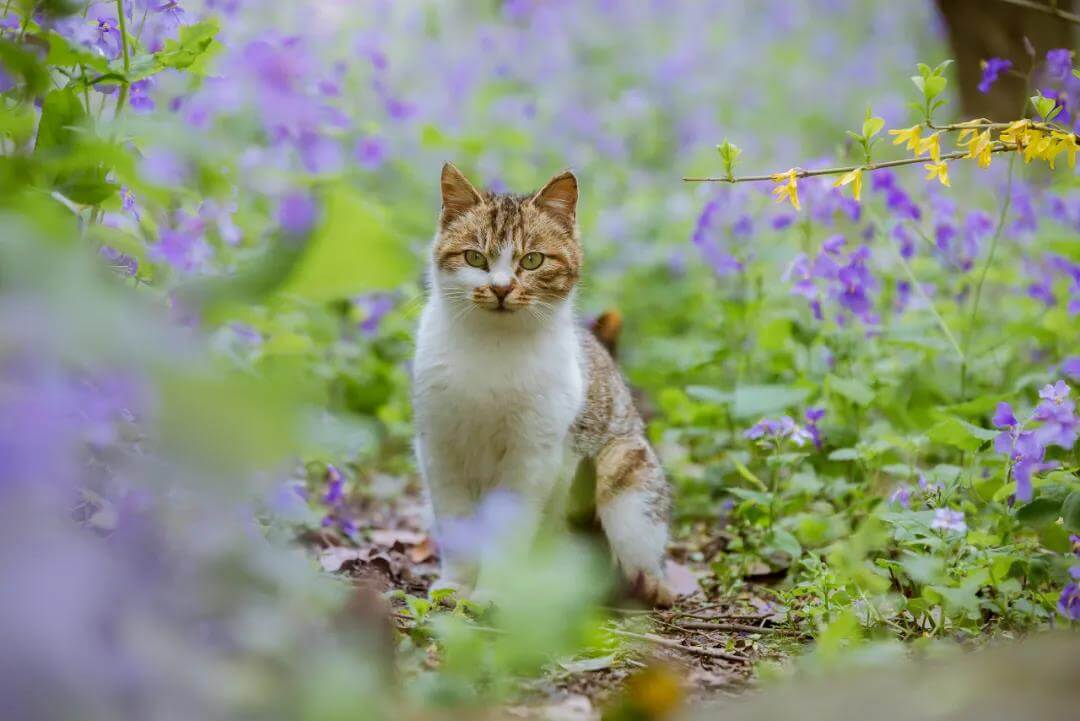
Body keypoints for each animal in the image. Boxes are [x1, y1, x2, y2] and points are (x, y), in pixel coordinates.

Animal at [412, 160, 673, 604]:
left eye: (532, 260)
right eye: (474, 257)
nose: (500, 288)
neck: (494, 346)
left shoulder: (531, 454)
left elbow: (507, 531)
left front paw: (491, 592)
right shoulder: (440, 449)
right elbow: (457, 523)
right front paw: (457, 584)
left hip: (624, 476)